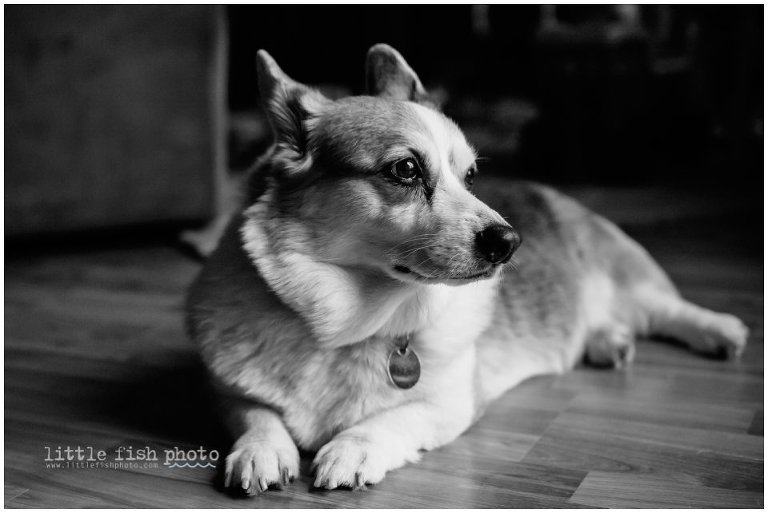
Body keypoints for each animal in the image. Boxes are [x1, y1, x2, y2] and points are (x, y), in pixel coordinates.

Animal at [183, 44, 748, 492]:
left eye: (470, 175)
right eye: (406, 169)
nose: (510, 242)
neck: (345, 325)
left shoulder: (451, 404)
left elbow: (392, 418)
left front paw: (351, 448)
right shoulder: (225, 392)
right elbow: (257, 414)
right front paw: (260, 451)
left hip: (628, 278)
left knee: (665, 308)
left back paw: (719, 331)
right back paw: (608, 342)